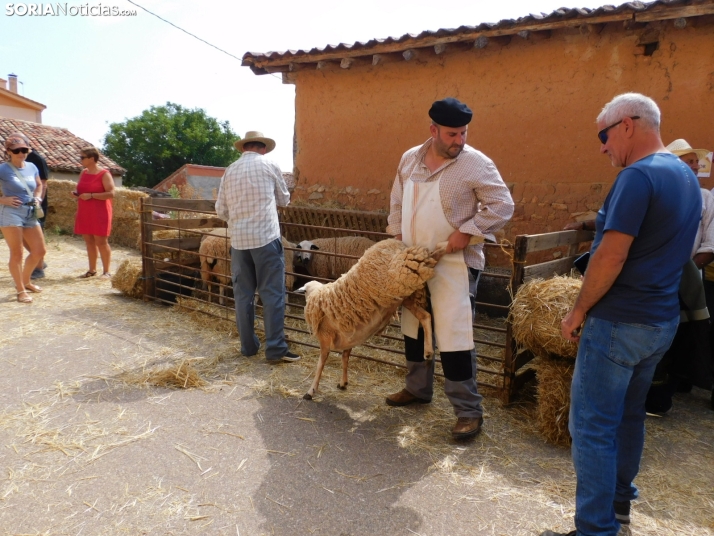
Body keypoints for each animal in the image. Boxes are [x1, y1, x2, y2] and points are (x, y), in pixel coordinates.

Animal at [294, 240, 440, 402]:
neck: (317, 296)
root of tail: (398, 243)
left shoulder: (325, 339)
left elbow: (320, 364)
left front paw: (311, 390)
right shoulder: (350, 336)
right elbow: (345, 358)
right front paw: (343, 383)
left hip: (402, 271)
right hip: (405, 292)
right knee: (426, 316)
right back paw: (428, 352)